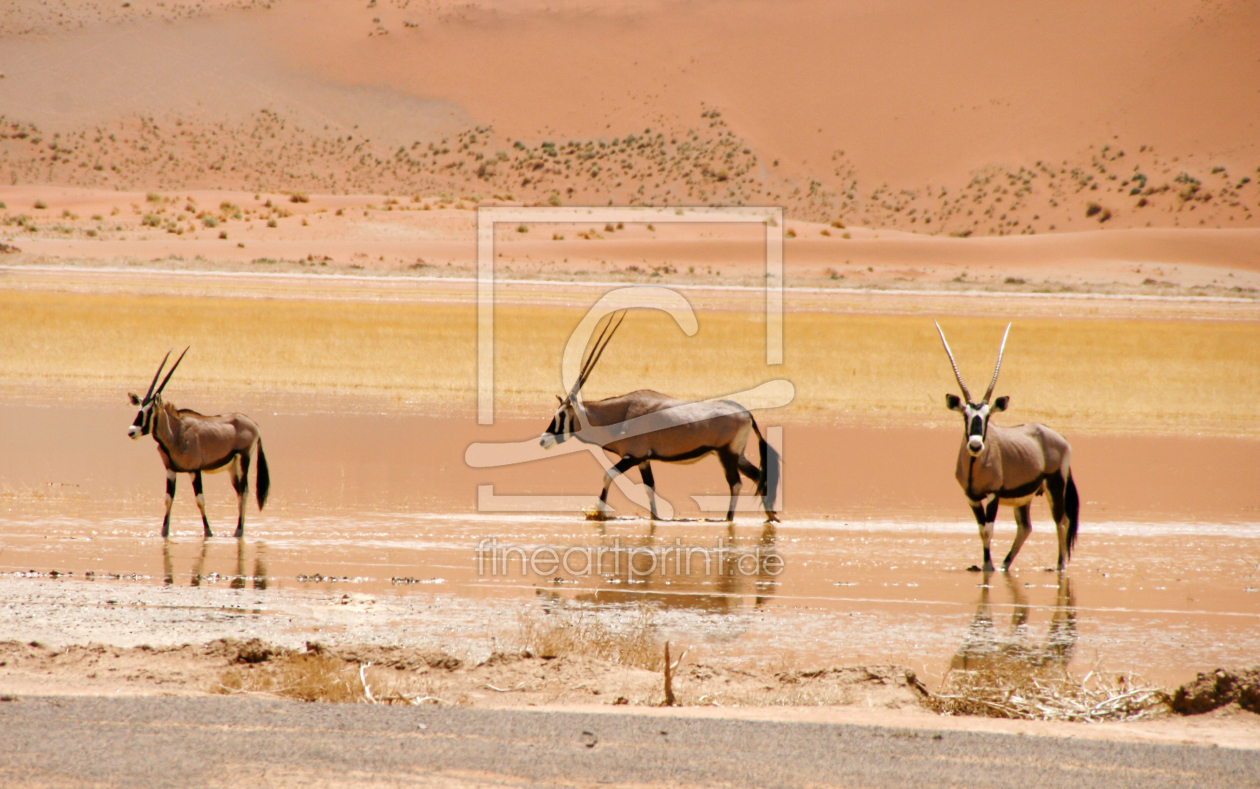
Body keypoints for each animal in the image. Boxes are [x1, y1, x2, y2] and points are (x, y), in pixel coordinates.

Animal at [129, 347, 269, 536]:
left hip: (244, 459)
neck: (176, 433)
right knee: (239, 492)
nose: (132, 431)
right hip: (232, 467)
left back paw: (239, 531)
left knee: (244, 492)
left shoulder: (195, 470)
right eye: (139, 409)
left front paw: (208, 532)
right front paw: (164, 532)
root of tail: (254, 424)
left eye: (150, 411)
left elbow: (200, 500)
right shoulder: (170, 470)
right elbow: (168, 499)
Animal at [541, 310, 776, 519]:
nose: (544, 440)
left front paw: (599, 513)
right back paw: (770, 516)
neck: (622, 414)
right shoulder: (644, 460)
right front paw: (655, 518)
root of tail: (746, 413)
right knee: (758, 476)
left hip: (726, 454)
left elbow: (608, 474)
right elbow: (649, 487)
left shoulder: (633, 456)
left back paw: (729, 518)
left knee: (736, 483)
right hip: (737, 455)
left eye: (562, 414)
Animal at [932, 322, 1078, 567]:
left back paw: (1060, 565)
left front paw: (987, 566)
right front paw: (988, 565)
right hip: (1025, 498)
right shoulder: (971, 498)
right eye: (965, 416)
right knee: (1025, 527)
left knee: (1062, 521)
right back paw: (1004, 565)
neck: (975, 466)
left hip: (1055, 484)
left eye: (987, 416)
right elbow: (981, 529)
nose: (975, 446)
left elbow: (988, 530)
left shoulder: (993, 494)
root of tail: (1061, 438)